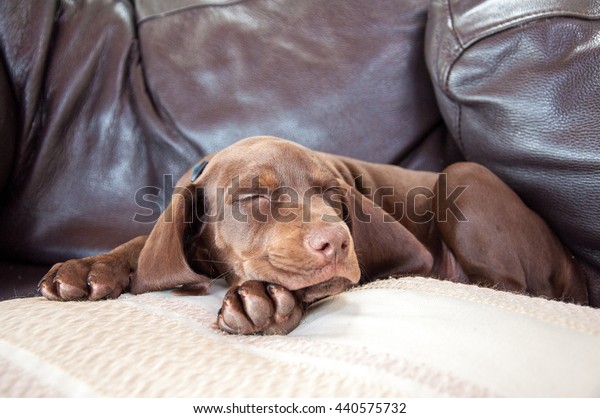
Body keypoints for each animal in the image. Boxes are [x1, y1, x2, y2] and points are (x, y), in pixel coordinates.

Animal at [36, 136, 584, 334]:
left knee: (510, 286)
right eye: (252, 197)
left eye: (332, 196)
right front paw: (88, 269)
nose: (337, 242)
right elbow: (146, 247)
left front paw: (263, 301)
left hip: (464, 176)